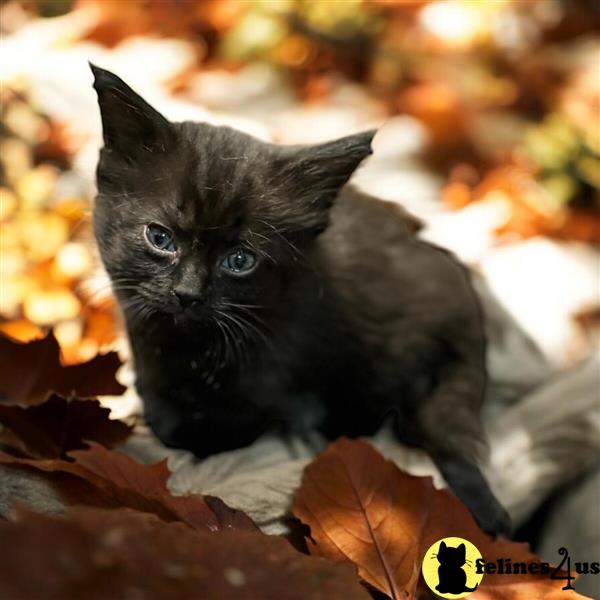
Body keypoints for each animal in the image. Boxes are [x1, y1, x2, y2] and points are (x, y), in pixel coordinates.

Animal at [91, 64, 508, 536]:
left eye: (240, 260)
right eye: (159, 238)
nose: (188, 293)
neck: (189, 352)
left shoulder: (268, 383)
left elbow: (207, 434)